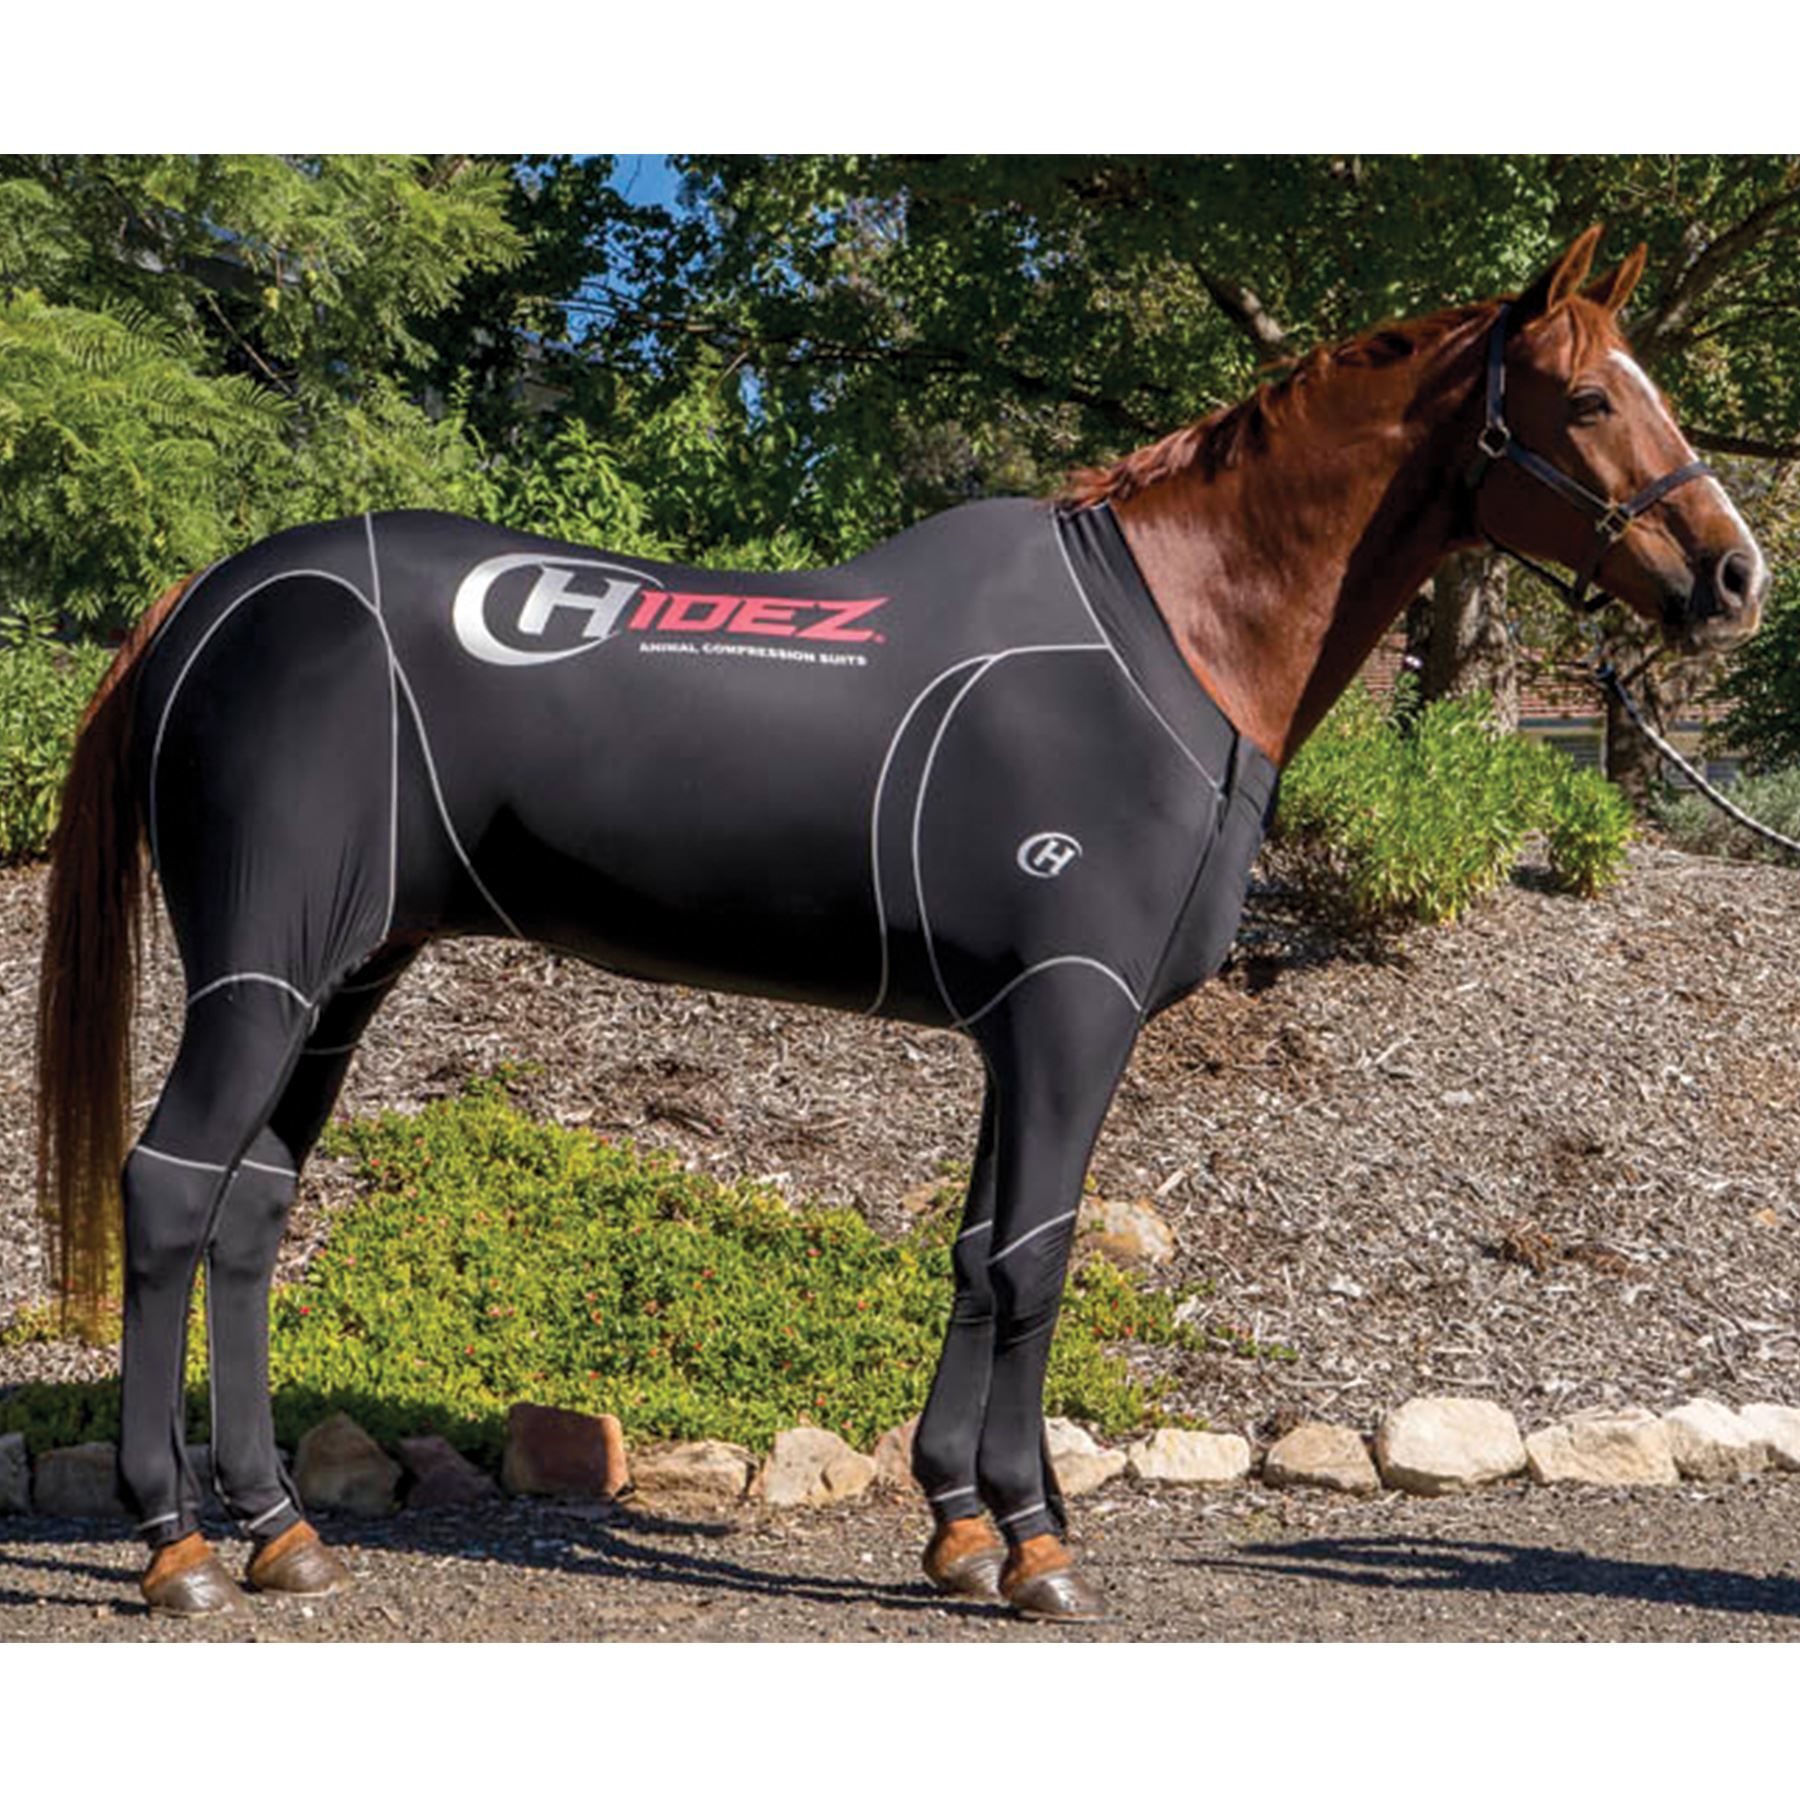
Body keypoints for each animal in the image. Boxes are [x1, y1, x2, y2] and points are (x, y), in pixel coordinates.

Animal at [34, 225, 1767, 1623]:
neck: (1168, 642)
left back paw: (279, 1528)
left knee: (252, 1211)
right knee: (173, 1190)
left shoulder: (1023, 1022)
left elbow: (981, 1252)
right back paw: (177, 1549)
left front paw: (959, 1526)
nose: (1735, 575)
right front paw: (1036, 1547)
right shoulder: (1075, 1008)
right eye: (1589, 399)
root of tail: (209, 597)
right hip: (264, 967)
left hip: (350, 973)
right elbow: (1039, 1262)